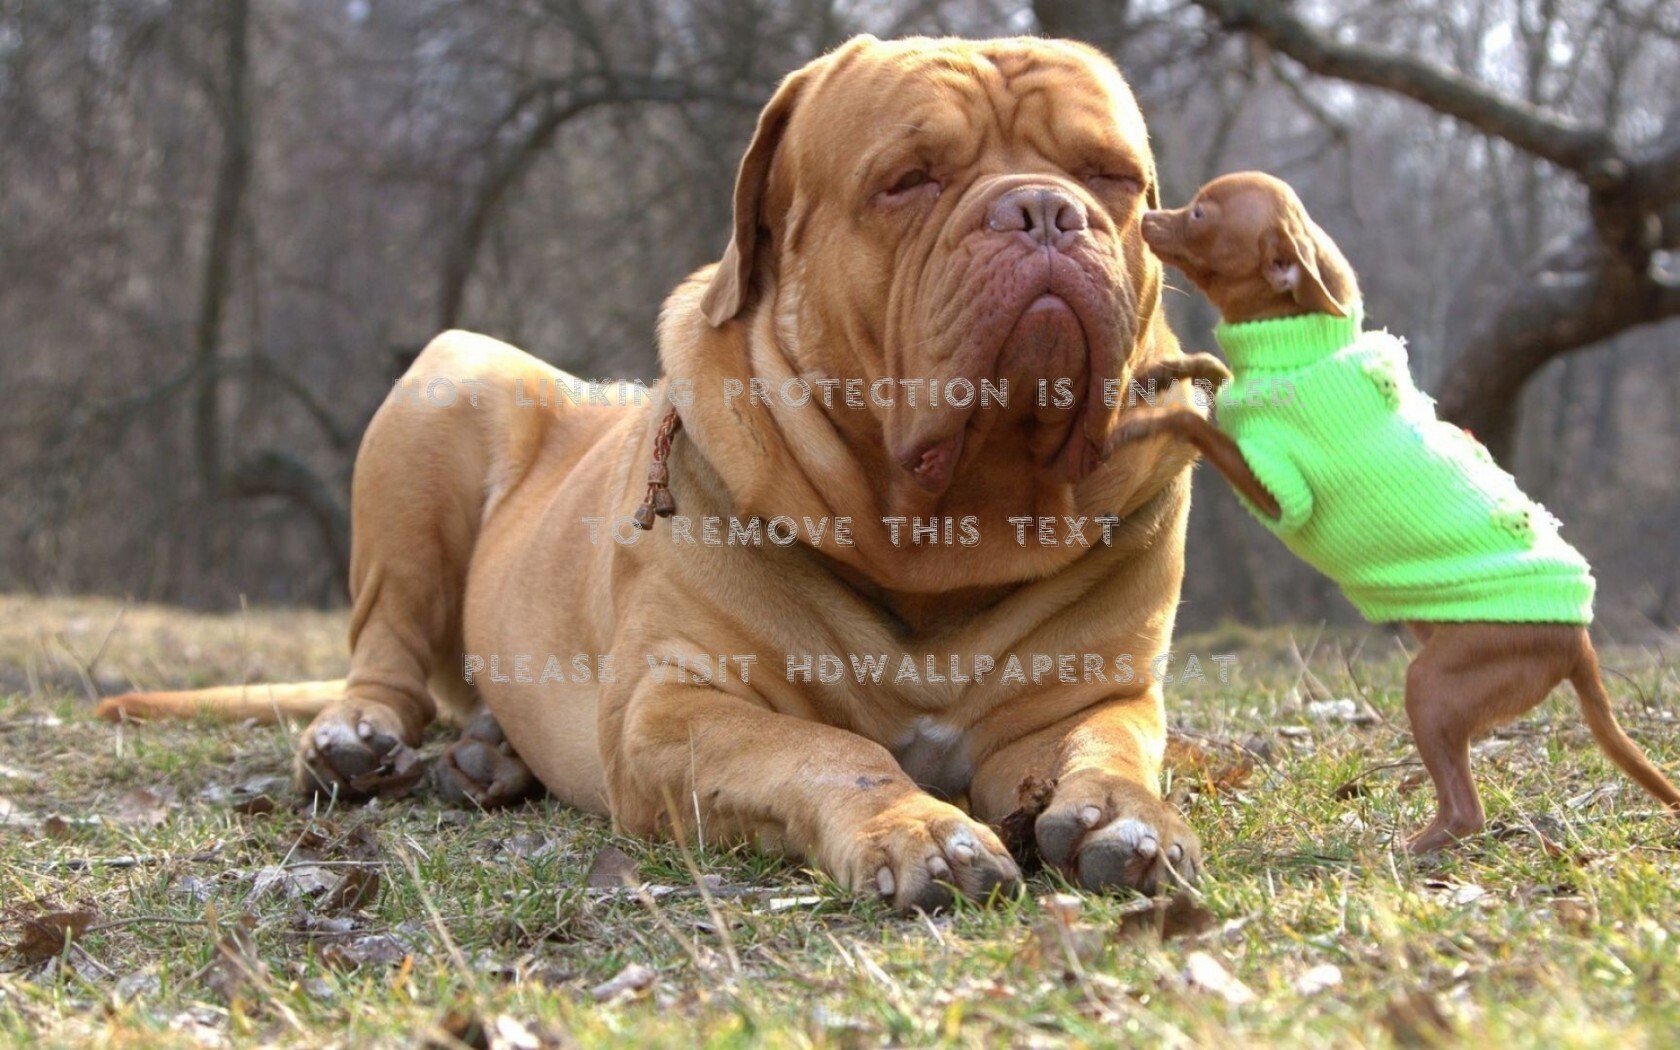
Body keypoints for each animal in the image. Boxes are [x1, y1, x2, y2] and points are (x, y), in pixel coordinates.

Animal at [105, 36, 1202, 913]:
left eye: (1110, 174)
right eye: (909, 179)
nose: (1043, 209)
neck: (947, 529)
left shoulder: (1089, 696)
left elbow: (1108, 749)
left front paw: (1127, 818)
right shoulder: (674, 712)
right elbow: (834, 752)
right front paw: (918, 828)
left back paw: (491, 756)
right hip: (445, 387)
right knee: (386, 657)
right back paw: (358, 736)